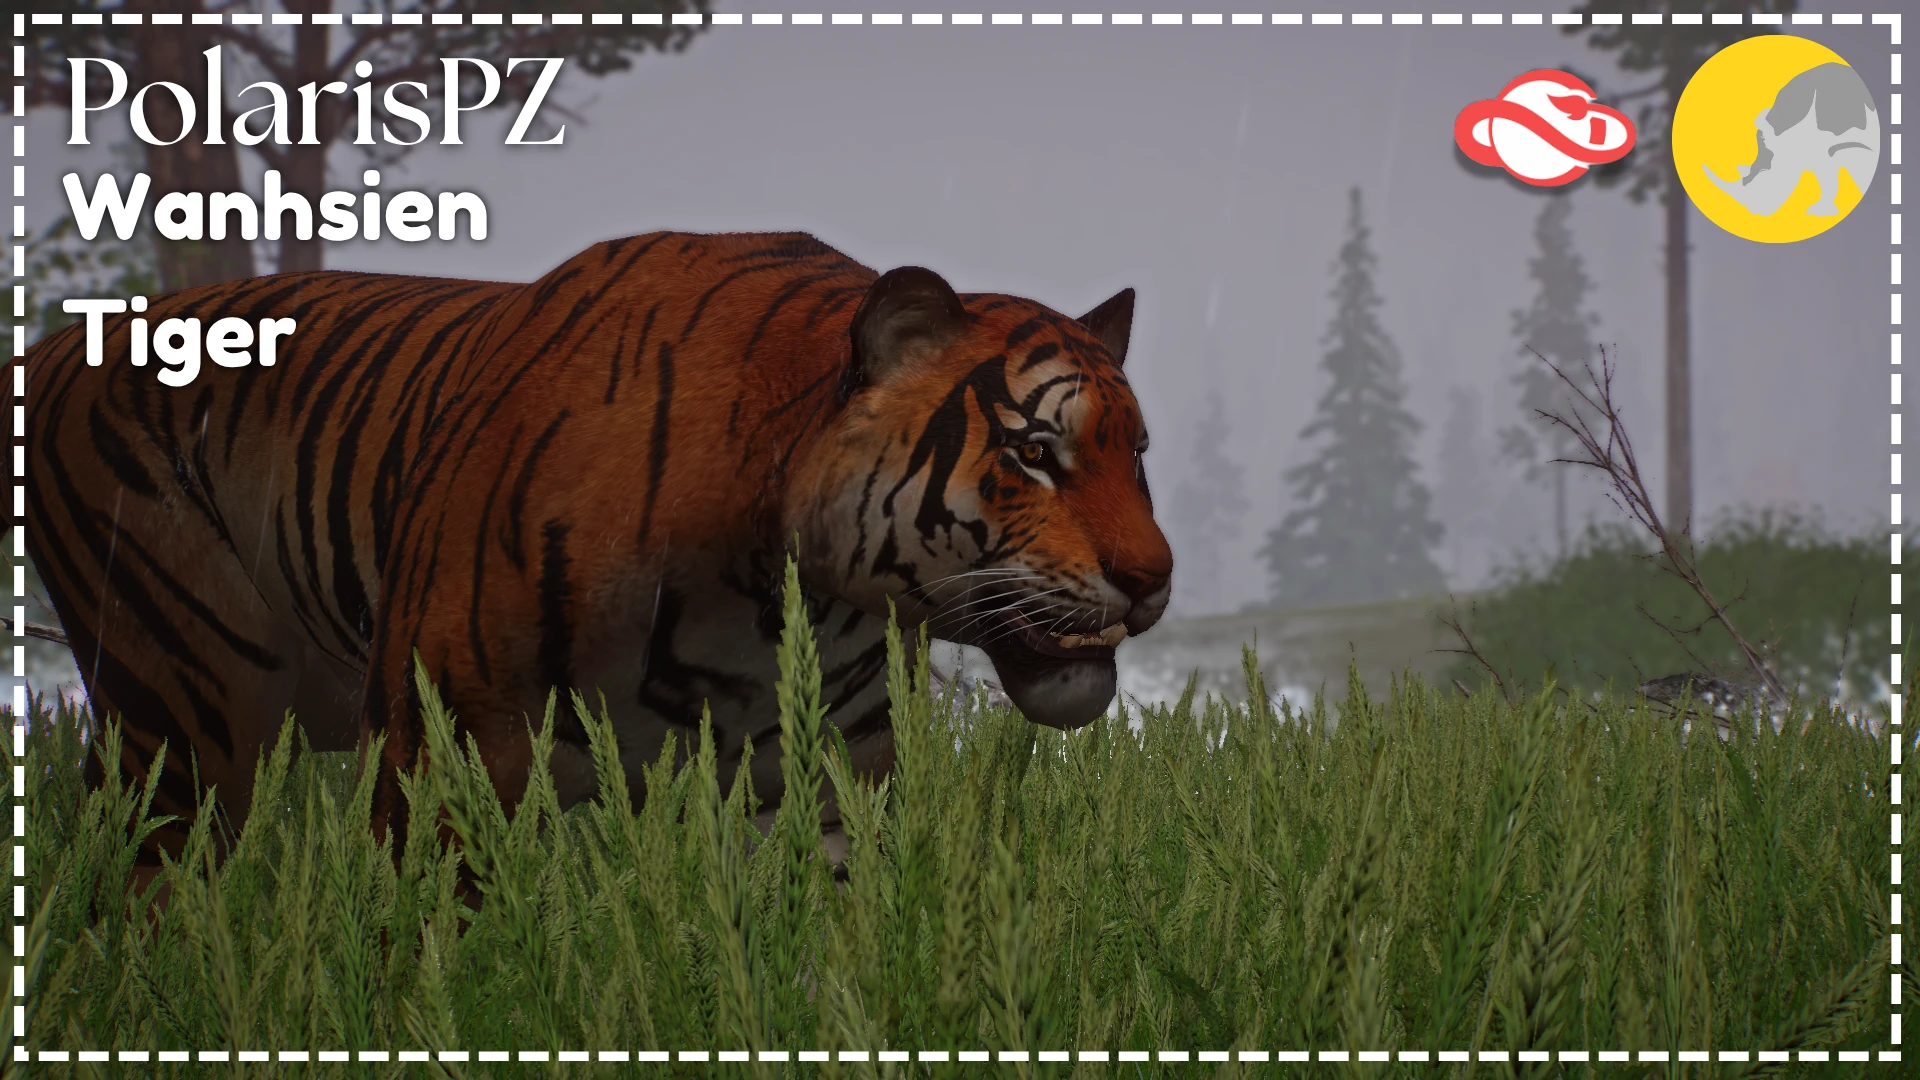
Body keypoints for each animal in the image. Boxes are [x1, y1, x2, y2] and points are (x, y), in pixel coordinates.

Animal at [23, 231, 1175, 864]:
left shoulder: (828, 784)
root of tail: (60, 342)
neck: (771, 597)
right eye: (1034, 453)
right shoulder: (446, 753)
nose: (1153, 579)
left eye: (1137, 454)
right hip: (188, 717)